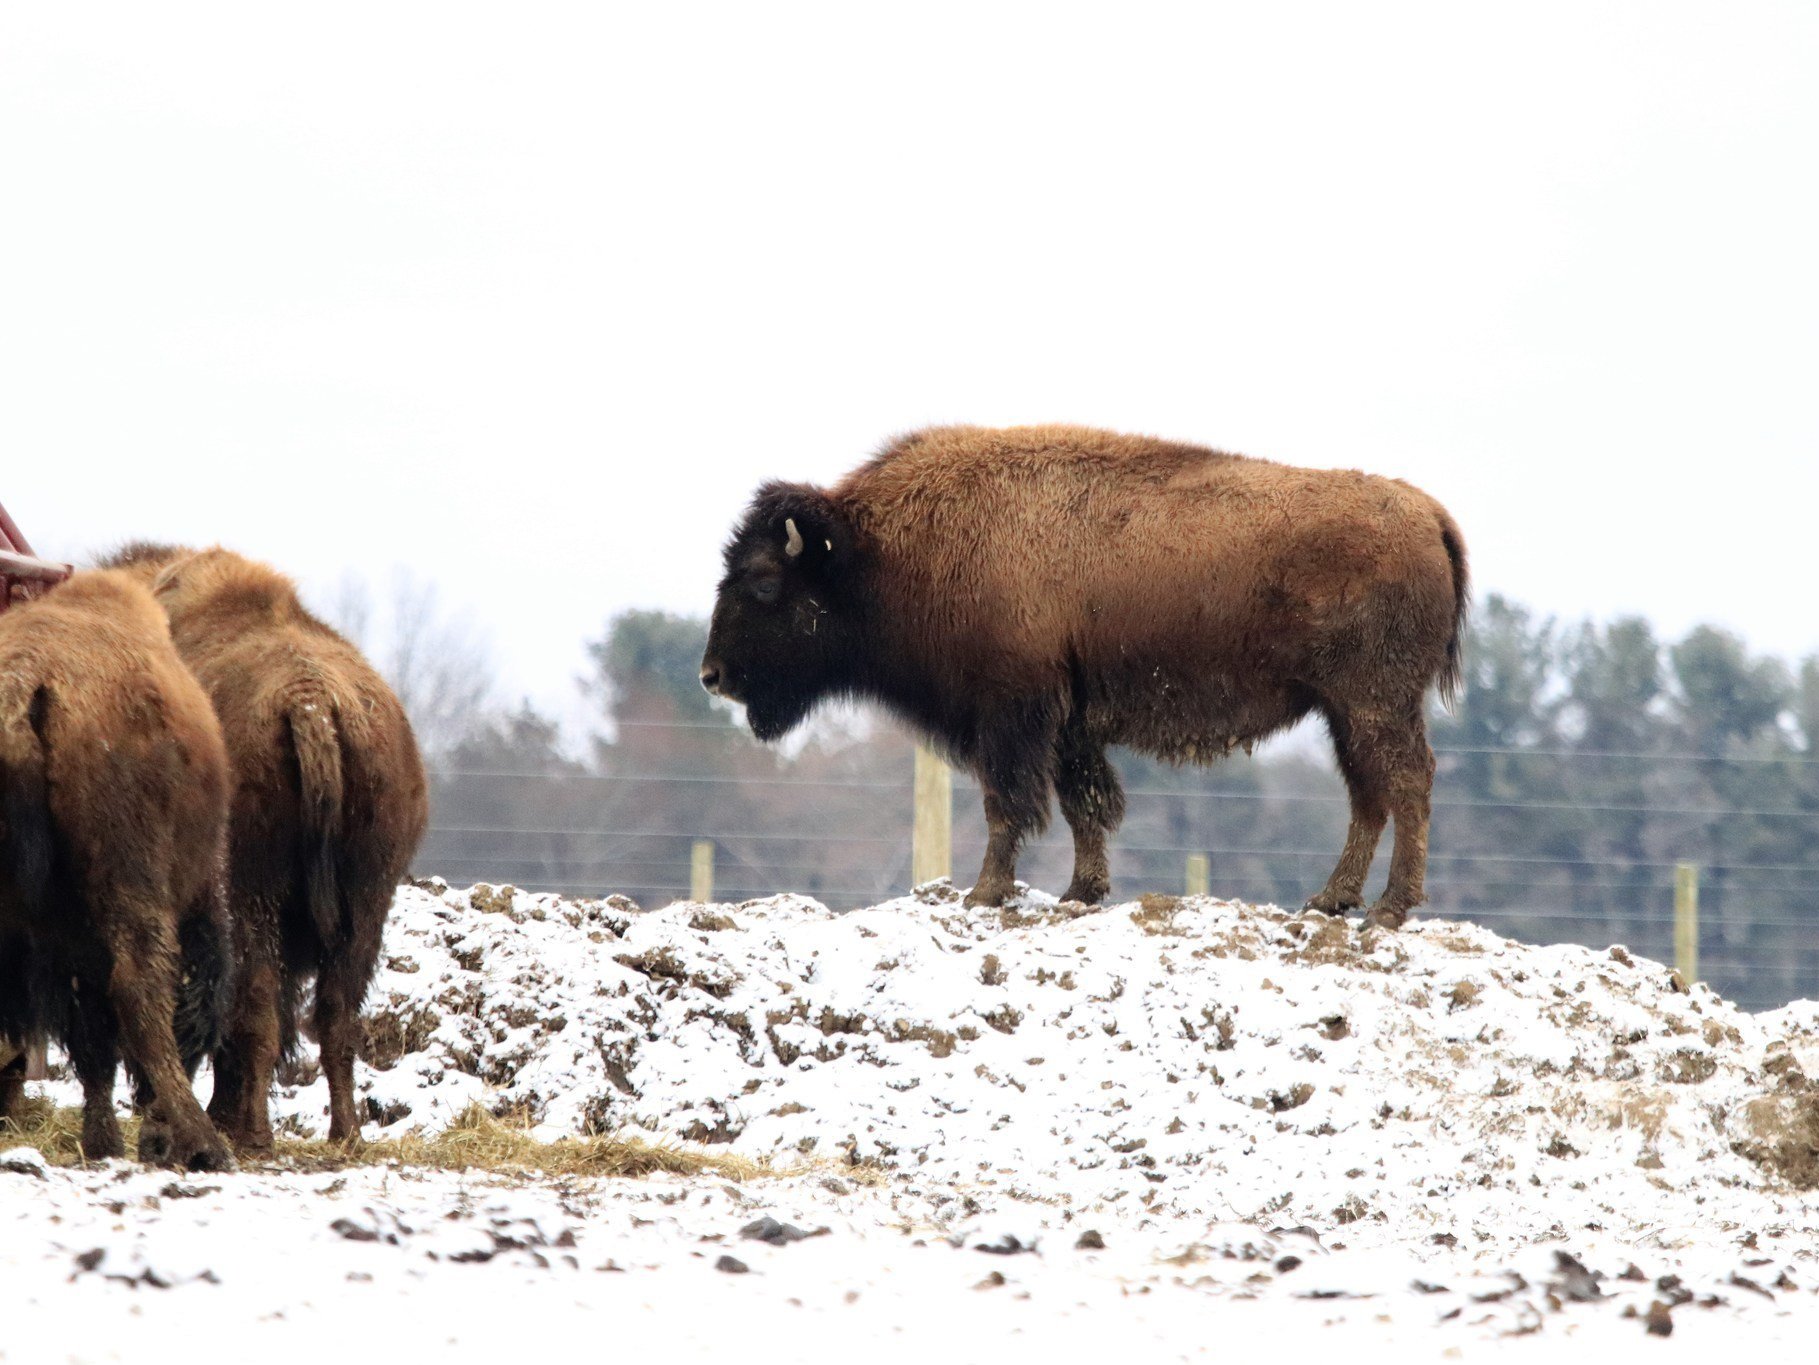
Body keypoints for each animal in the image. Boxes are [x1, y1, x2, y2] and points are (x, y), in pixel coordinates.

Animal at [0, 571, 235, 1169]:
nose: (157, 1140)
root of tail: (22, 685)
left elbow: (91, 1041)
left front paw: (101, 1142)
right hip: (131, 881)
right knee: (139, 986)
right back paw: (206, 1143)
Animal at [105, 546, 428, 1150]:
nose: (140, 1096)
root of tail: (311, 703)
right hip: (367, 901)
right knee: (334, 1015)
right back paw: (343, 1133)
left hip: (251, 893)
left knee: (255, 1003)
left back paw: (251, 1132)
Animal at [702, 425, 1467, 926]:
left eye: (764, 583)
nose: (712, 675)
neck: (877, 552)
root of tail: (1426, 510)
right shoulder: (1069, 722)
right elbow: (1084, 804)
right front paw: (1081, 891)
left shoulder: (1011, 713)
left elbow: (1008, 803)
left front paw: (984, 894)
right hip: (1344, 711)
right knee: (1369, 793)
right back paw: (1331, 901)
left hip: (1373, 702)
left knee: (1406, 783)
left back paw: (1389, 909)